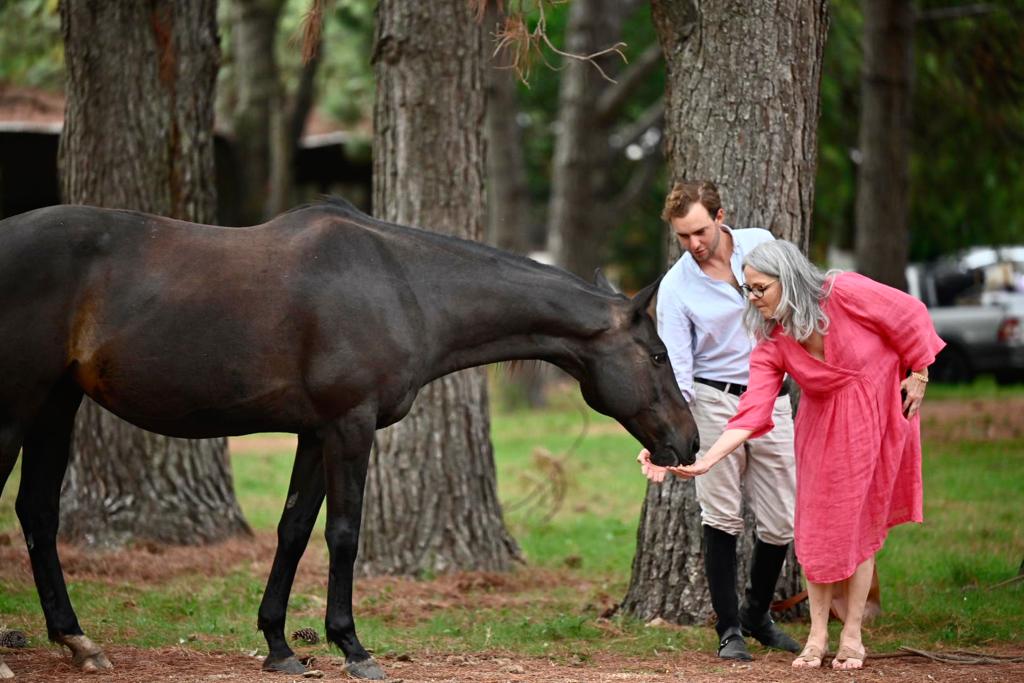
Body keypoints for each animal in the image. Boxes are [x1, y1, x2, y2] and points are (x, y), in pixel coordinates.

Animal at [0, 196, 696, 679]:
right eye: (658, 354)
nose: (687, 444)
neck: (403, 287)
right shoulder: (350, 426)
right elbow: (343, 533)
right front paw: (352, 646)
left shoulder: (314, 433)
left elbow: (292, 530)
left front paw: (279, 646)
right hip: (15, 407)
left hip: (56, 404)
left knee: (37, 511)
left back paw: (78, 642)